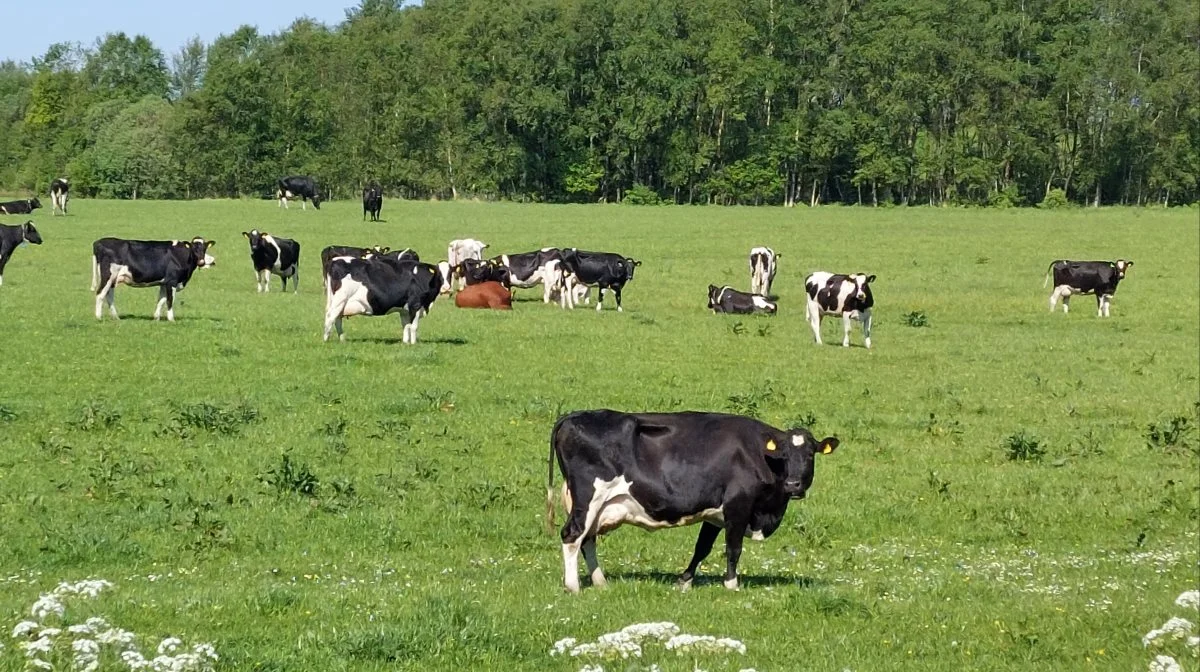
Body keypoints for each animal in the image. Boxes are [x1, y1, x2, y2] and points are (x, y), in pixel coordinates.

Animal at [549, 410, 840, 592]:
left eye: (810, 455)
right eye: (784, 455)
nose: (793, 485)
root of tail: (574, 415)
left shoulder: (715, 514)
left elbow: (702, 548)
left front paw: (684, 581)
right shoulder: (738, 505)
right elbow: (733, 549)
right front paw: (732, 584)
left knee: (587, 538)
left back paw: (600, 582)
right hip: (588, 498)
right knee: (572, 535)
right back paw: (573, 586)